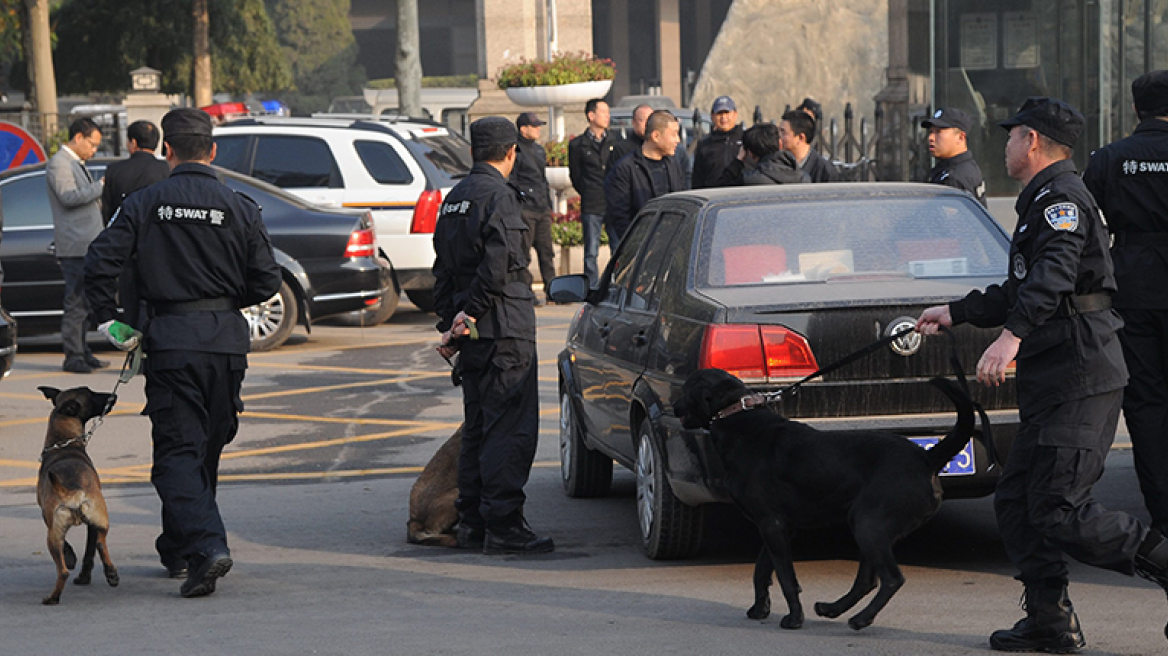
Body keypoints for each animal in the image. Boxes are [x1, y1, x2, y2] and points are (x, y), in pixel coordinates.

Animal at [35, 382, 119, 602]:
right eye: (91, 394)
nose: (113, 396)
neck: (63, 444)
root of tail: (71, 492)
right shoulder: (88, 525)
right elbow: (88, 551)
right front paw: (81, 572)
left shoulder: (47, 517)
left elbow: (76, 549)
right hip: (98, 520)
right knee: (99, 545)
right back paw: (110, 574)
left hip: (56, 533)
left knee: (65, 568)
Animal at [677, 368, 976, 630]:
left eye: (685, 388)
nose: (673, 405)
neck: (736, 414)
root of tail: (927, 457)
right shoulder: (777, 525)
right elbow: (762, 570)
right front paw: (759, 609)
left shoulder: (772, 524)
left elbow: (785, 576)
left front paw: (794, 619)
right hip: (869, 527)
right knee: (867, 581)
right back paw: (832, 609)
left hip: (868, 525)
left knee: (892, 579)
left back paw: (861, 619)